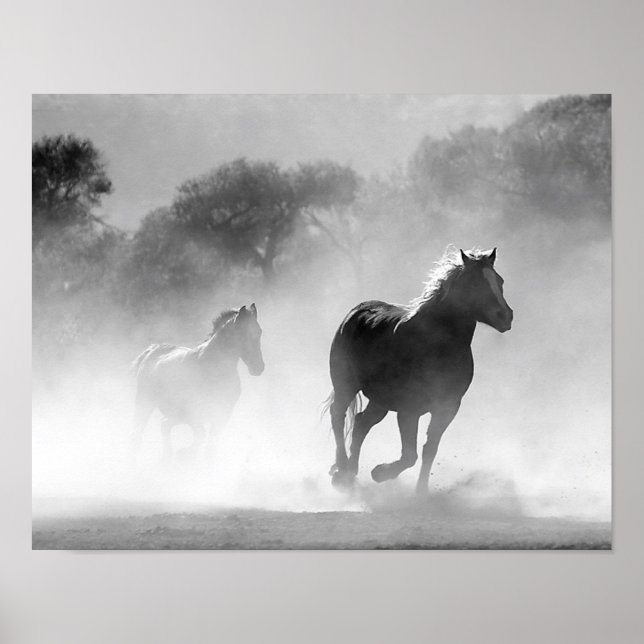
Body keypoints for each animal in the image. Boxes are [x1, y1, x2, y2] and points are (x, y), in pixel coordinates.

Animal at [131, 304, 264, 461]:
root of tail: (152, 350)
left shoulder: (223, 414)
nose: (259, 367)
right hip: (145, 403)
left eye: (259, 332)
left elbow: (210, 446)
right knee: (139, 433)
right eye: (243, 333)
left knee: (164, 425)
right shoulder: (194, 413)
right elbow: (201, 437)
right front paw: (184, 454)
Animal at [325, 246, 513, 495]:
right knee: (338, 416)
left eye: (499, 281)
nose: (506, 316)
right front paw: (380, 473)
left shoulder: (447, 407)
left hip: (380, 400)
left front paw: (421, 492)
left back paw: (350, 472)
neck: (436, 346)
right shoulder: (409, 410)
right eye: (474, 283)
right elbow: (409, 455)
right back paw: (341, 471)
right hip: (345, 385)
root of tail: (356, 312)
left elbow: (429, 449)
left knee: (361, 422)